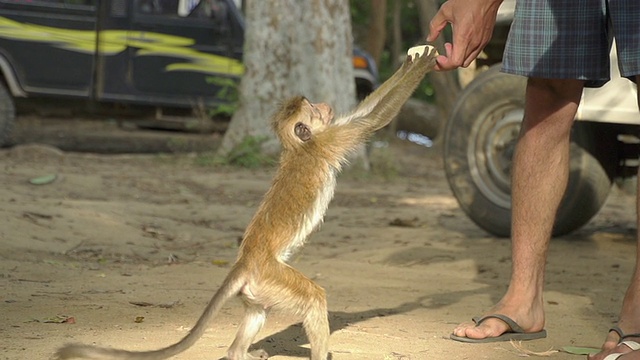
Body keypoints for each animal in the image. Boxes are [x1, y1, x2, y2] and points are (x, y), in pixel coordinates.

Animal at [55, 45, 438, 360]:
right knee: (314, 298)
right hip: (272, 275)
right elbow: (373, 119)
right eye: (314, 109)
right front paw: (422, 62)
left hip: (258, 288)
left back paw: (238, 353)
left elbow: (369, 111)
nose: (325, 105)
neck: (299, 147)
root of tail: (245, 261)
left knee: (256, 312)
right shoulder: (330, 139)